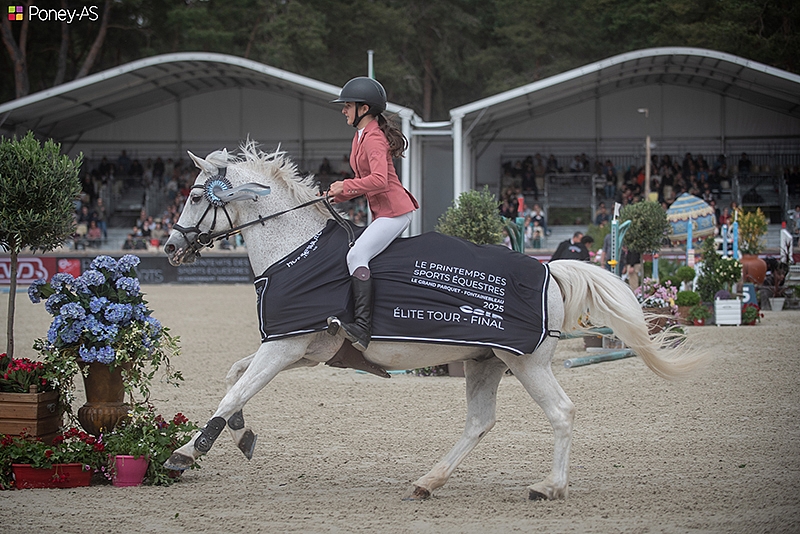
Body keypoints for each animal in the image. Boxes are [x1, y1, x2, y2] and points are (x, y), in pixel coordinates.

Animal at [162, 142, 707, 501]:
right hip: (485, 362)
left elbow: (232, 390)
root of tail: (548, 270)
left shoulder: (285, 346)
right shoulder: (303, 349)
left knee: (561, 412)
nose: (169, 247)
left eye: (196, 197)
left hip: (526, 362)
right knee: (480, 422)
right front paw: (241, 434)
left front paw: (186, 453)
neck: (296, 253)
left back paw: (549, 487)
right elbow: (234, 377)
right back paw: (429, 480)